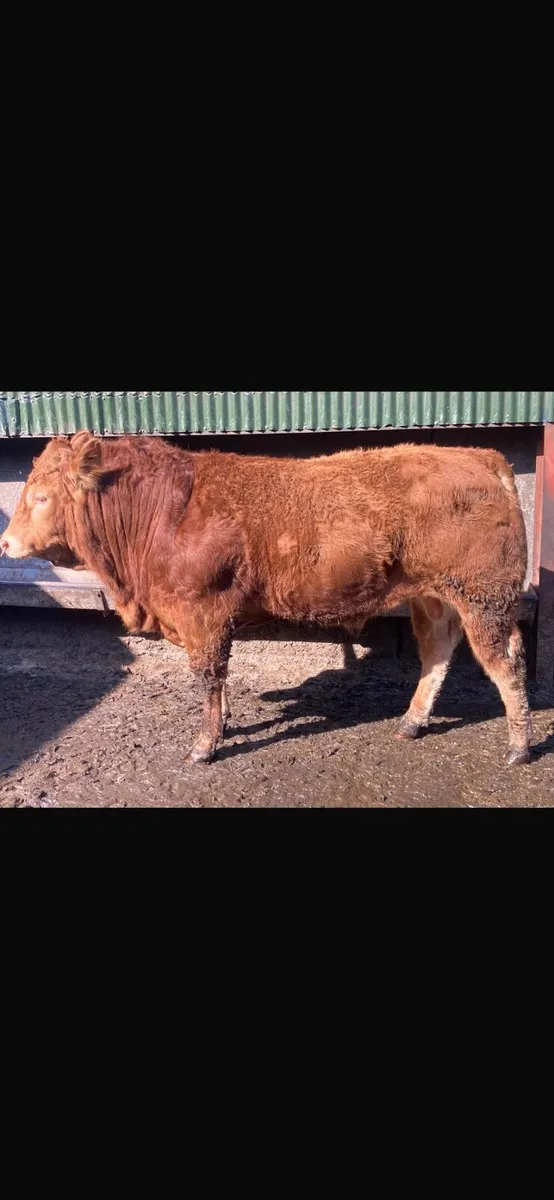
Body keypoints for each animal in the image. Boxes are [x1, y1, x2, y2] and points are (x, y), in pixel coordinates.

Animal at [1, 433, 532, 766]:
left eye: (42, 497)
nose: (5, 542)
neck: (165, 509)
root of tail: (481, 456)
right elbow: (218, 679)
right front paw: (224, 726)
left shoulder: (203, 611)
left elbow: (208, 677)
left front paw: (205, 745)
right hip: (433, 596)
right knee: (438, 650)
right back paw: (412, 721)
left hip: (485, 597)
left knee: (506, 663)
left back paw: (519, 746)